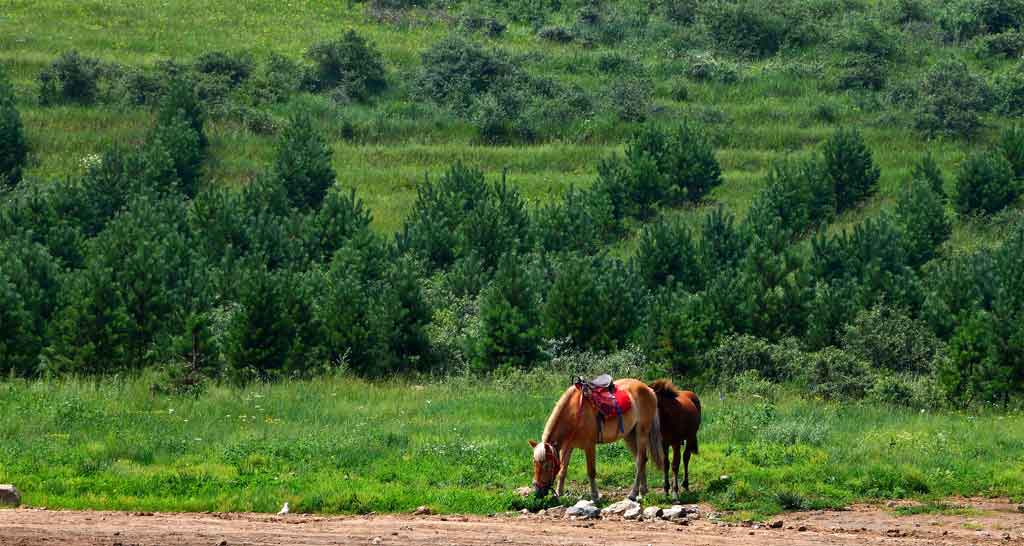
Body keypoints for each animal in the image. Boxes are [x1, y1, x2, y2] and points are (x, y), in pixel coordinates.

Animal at [528, 376, 663, 499]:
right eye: (534, 463)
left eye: (547, 465)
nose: (538, 492)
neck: (574, 413)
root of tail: (649, 389)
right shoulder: (567, 447)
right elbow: (563, 470)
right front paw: (559, 493)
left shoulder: (589, 446)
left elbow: (591, 471)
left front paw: (595, 495)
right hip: (630, 436)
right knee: (642, 459)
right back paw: (643, 491)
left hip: (642, 433)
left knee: (640, 461)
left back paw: (633, 493)